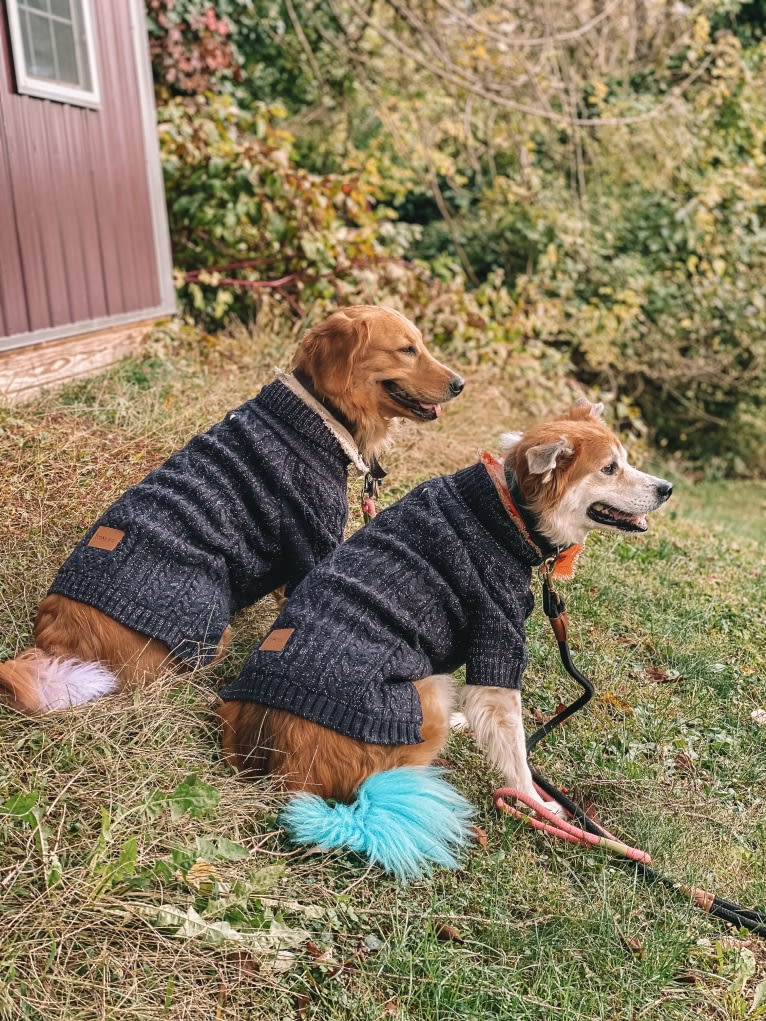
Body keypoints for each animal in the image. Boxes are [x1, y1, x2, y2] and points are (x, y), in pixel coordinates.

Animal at [0, 306, 465, 714]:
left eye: (422, 344)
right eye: (406, 349)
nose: (460, 384)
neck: (319, 413)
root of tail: (57, 640)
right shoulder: (312, 543)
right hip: (209, 630)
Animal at [216, 398, 669, 878]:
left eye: (625, 460)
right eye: (609, 468)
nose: (667, 489)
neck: (510, 508)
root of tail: (283, 769)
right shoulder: (498, 639)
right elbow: (516, 753)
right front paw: (538, 805)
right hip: (427, 692)